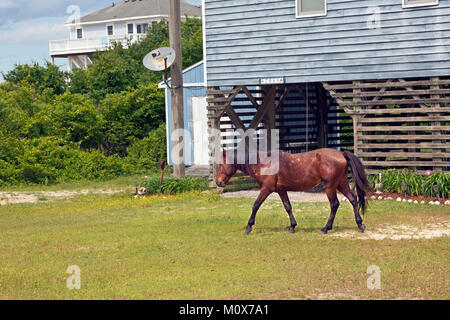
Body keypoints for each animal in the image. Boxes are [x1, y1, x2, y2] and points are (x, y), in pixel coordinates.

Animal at [216, 148, 370, 235]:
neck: (264, 163)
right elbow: (288, 207)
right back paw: (360, 224)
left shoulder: (266, 189)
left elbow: (255, 205)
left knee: (334, 204)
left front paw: (249, 226)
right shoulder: (281, 190)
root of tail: (342, 154)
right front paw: (292, 226)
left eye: (221, 165)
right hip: (341, 184)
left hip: (330, 186)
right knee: (353, 199)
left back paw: (326, 228)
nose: (218, 182)